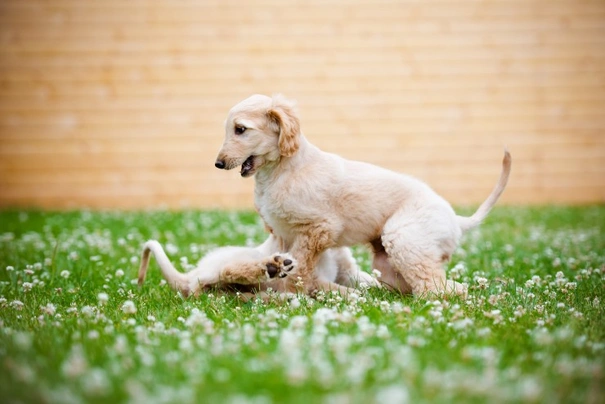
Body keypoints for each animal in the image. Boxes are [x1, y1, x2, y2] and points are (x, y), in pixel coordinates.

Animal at [138, 234, 378, 300]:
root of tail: (189, 276)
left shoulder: (348, 271)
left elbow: (369, 280)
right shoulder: (312, 280)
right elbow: (342, 290)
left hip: (227, 293)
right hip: (223, 267)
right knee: (222, 273)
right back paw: (271, 266)